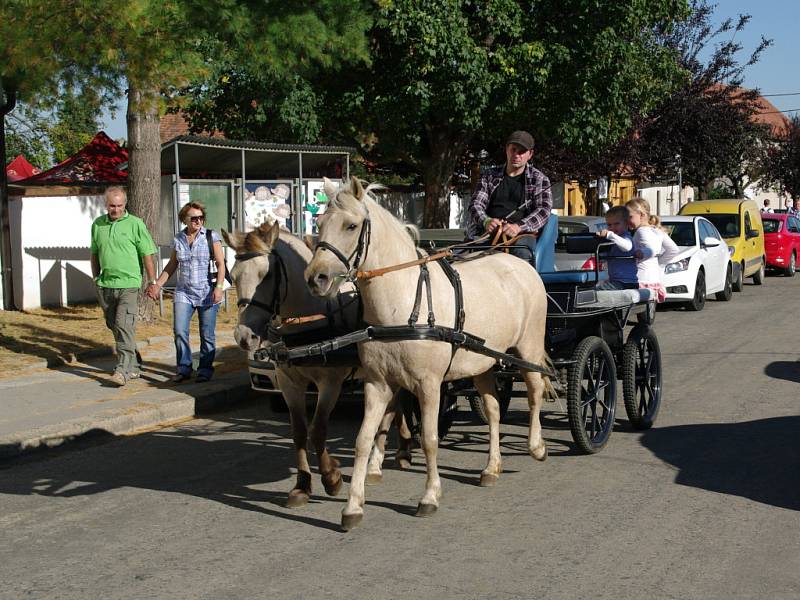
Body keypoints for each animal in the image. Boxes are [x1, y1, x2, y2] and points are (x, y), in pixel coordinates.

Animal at [223, 223, 412, 508]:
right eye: (232, 276)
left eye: (266, 275)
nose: (245, 336)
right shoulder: (288, 382)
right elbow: (300, 432)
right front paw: (302, 485)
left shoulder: (330, 383)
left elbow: (318, 430)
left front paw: (331, 477)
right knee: (395, 405)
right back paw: (397, 450)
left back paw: (394, 454)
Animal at [304, 177, 552, 528]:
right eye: (320, 224)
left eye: (351, 225)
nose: (316, 278)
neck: (404, 300)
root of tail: (519, 264)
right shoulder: (377, 383)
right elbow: (364, 440)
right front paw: (353, 506)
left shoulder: (430, 385)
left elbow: (430, 439)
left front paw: (430, 496)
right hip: (483, 363)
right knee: (492, 410)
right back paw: (491, 467)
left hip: (528, 348)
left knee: (534, 392)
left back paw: (536, 446)